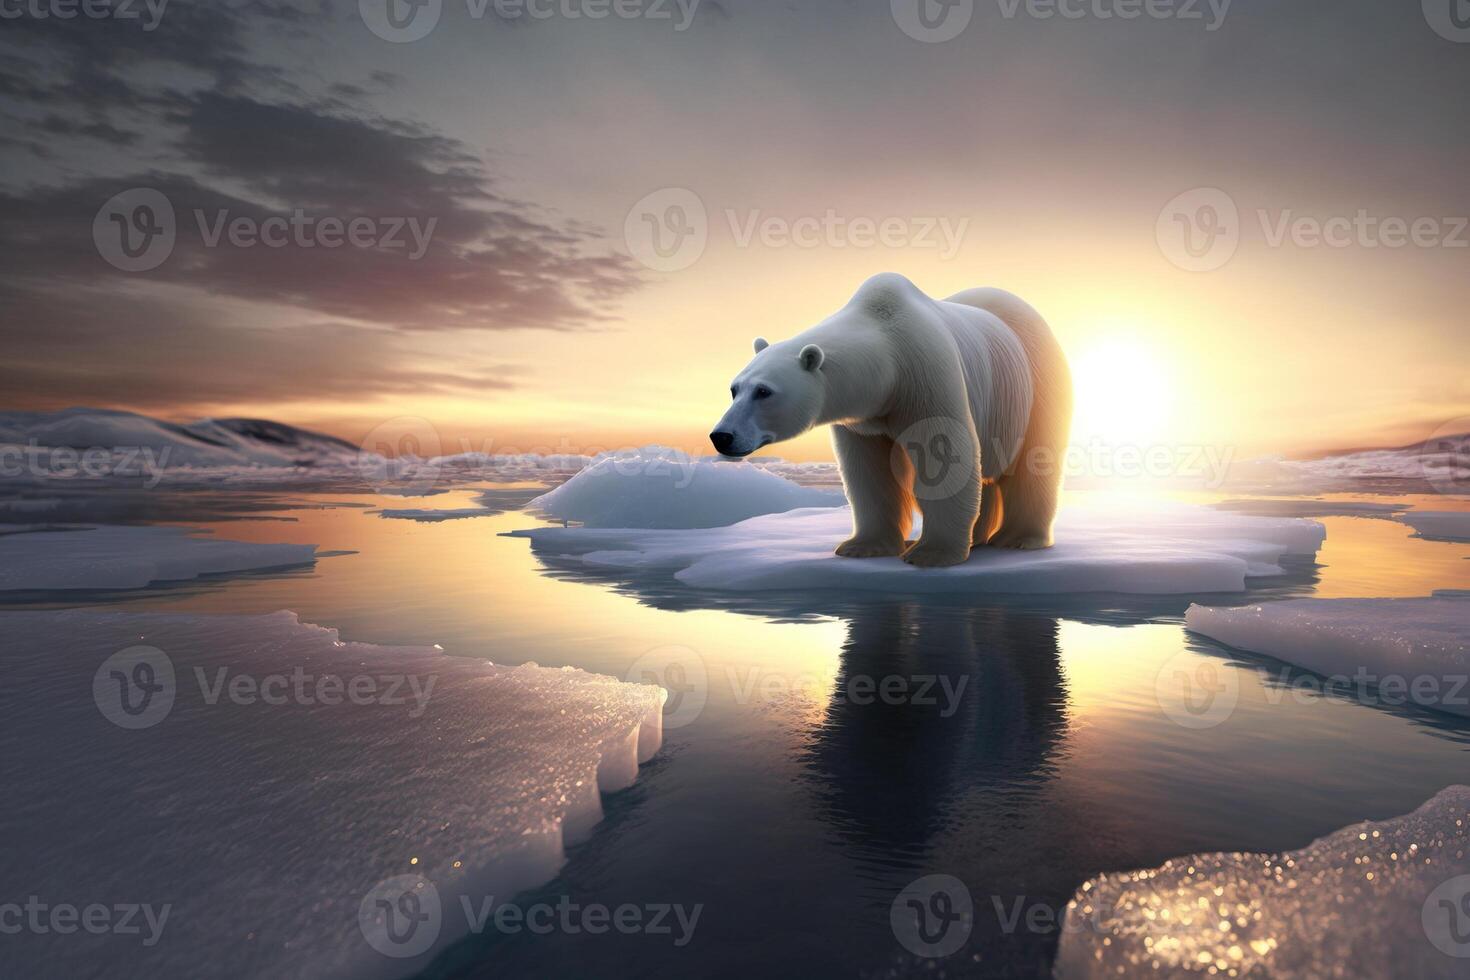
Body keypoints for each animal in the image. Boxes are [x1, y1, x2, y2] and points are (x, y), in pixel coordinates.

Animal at [708, 274, 1070, 567]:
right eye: (734, 389)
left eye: (764, 391)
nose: (721, 436)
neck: (888, 355)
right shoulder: (862, 419)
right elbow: (868, 473)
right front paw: (862, 546)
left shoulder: (926, 374)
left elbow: (944, 454)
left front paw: (931, 553)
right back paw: (979, 537)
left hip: (1034, 380)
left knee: (1034, 461)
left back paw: (1018, 538)